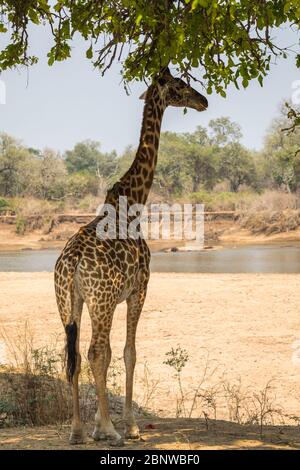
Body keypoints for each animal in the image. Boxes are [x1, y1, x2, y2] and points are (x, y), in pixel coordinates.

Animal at [54, 68, 207, 446]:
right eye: (180, 85)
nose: (203, 100)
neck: (134, 202)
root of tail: (71, 265)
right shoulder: (139, 290)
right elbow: (128, 352)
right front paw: (129, 426)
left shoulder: (111, 298)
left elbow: (113, 354)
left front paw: (97, 424)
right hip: (101, 300)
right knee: (94, 352)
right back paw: (111, 432)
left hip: (69, 302)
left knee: (72, 354)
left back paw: (77, 431)